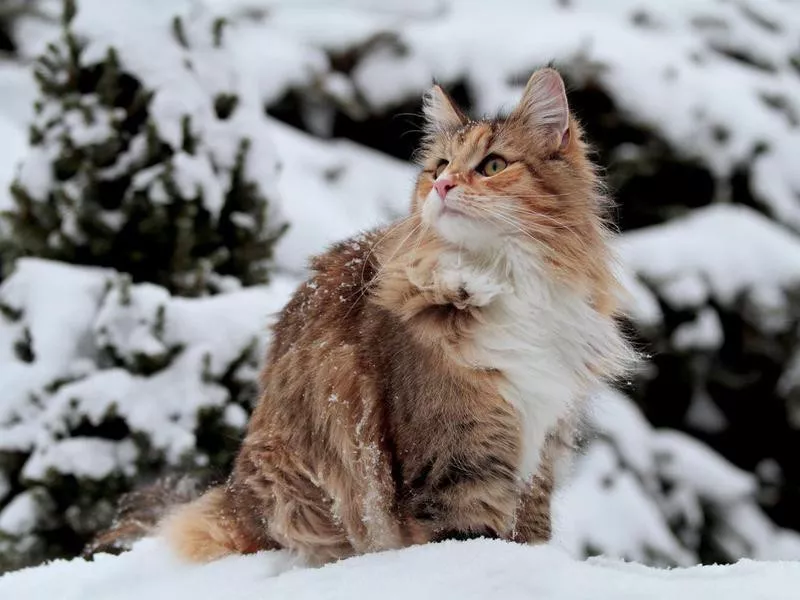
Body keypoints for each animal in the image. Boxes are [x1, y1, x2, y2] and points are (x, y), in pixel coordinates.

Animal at [95, 68, 632, 564]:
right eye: (439, 166)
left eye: (493, 164)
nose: (442, 185)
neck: (503, 279)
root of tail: (232, 494)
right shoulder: (455, 458)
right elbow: (469, 539)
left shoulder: (541, 445)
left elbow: (530, 535)